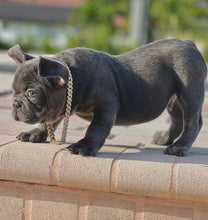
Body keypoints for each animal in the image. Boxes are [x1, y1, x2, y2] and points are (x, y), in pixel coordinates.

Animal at [8, 39, 206, 156]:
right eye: (13, 91)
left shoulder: (106, 107)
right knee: (177, 118)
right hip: (174, 100)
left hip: (189, 92)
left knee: (192, 121)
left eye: (32, 93)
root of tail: (189, 43)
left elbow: (96, 128)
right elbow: (49, 122)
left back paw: (179, 147)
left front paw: (84, 146)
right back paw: (165, 140)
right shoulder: (59, 108)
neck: (74, 76)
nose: (15, 104)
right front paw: (35, 133)